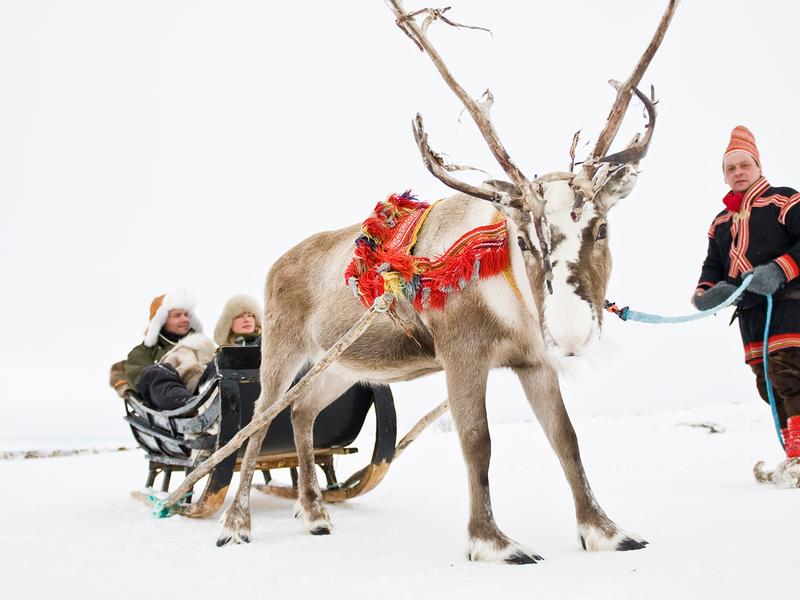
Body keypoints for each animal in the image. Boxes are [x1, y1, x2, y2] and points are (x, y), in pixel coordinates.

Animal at [215, 0, 678, 564]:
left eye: (602, 227)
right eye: (524, 239)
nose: (570, 333)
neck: (511, 299)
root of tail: (277, 263)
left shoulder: (533, 361)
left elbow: (566, 439)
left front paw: (605, 531)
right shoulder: (462, 352)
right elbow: (477, 442)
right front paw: (493, 542)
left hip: (341, 365)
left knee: (302, 414)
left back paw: (315, 512)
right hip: (282, 349)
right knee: (260, 422)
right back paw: (236, 524)